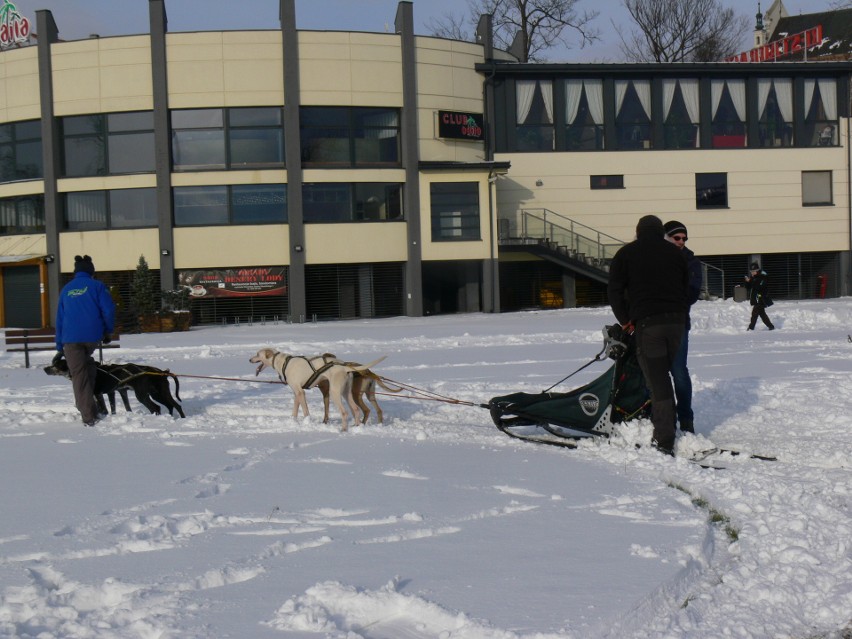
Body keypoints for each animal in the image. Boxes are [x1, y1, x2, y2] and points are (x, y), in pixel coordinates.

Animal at [44, 360, 186, 420]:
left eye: (56, 365)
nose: (45, 368)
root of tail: (162, 372)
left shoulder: (98, 394)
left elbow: (104, 409)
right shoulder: (113, 392)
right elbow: (114, 408)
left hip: (143, 395)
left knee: (156, 408)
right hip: (158, 394)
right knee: (174, 406)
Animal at [250, 348, 386, 432]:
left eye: (257, 354)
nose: (249, 359)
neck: (283, 363)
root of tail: (345, 368)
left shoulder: (301, 392)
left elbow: (305, 411)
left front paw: (307, 422)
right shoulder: (297, 392)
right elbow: (295, 410)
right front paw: (293, 421)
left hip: (335, 393)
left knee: (345, 412)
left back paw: (343, 429)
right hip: (347, 393)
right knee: (356, 410)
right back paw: (356, 427)